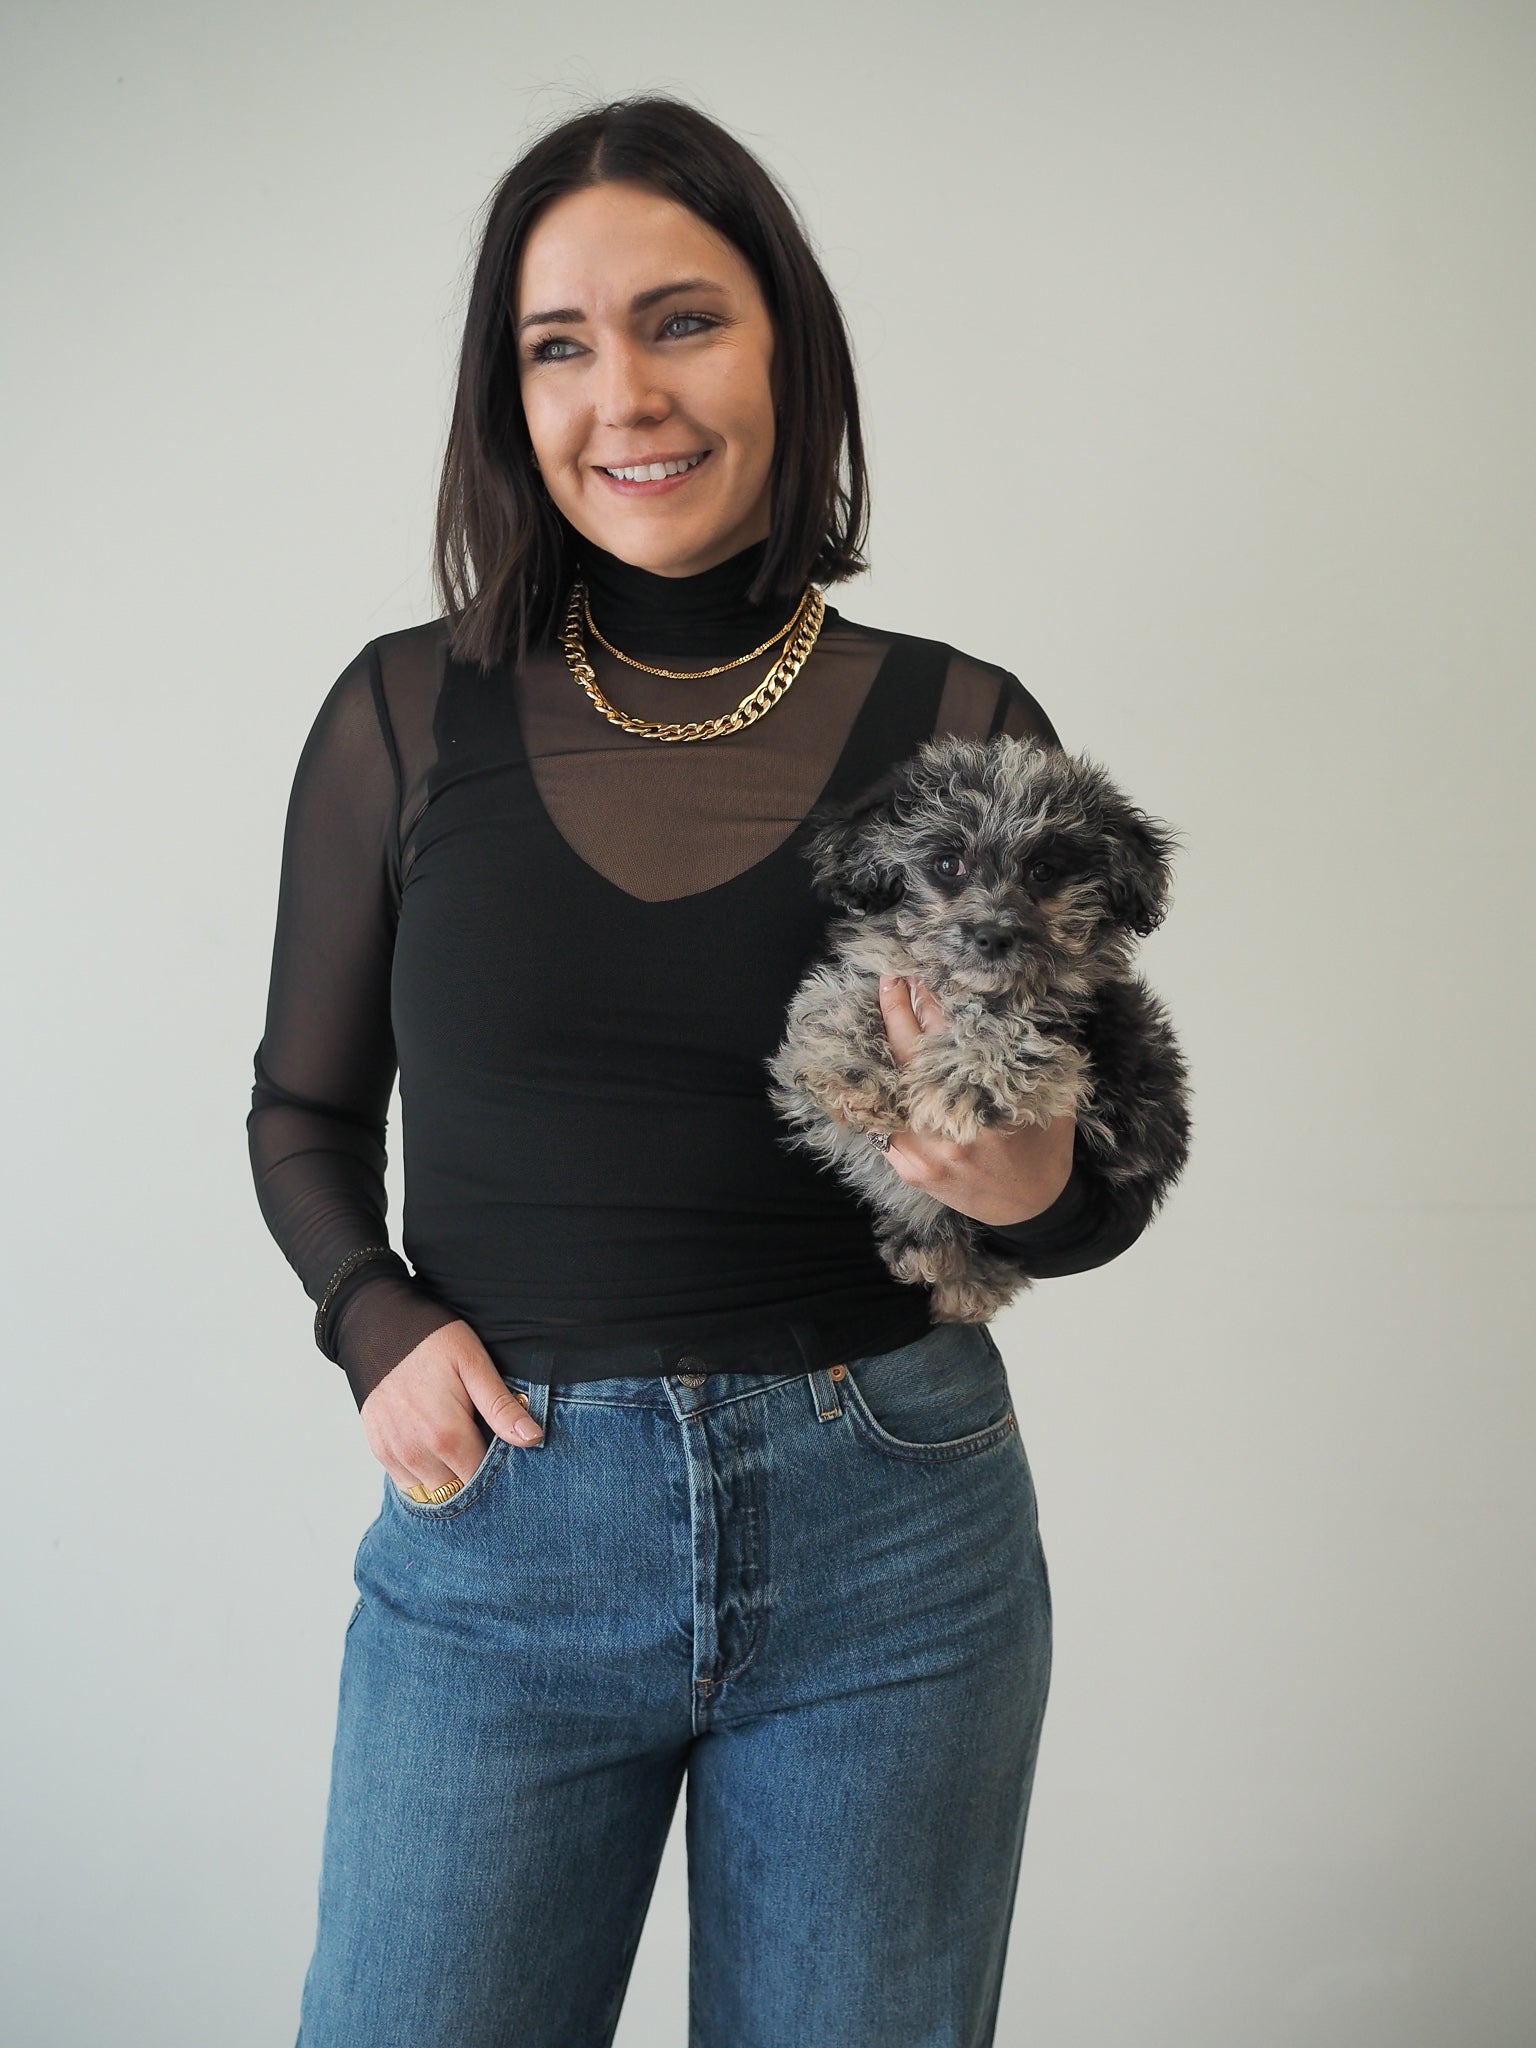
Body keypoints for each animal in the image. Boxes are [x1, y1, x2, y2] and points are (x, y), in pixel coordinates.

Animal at [764, 732, 1192, 1320]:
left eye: (1044, 870)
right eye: (948, 864)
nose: (992, 935)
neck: (968, 990)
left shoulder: (1082, 1041)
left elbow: (1007, 1033)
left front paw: (958, 1082)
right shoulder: (886, 973)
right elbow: (840, 993)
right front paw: (848, 1069)